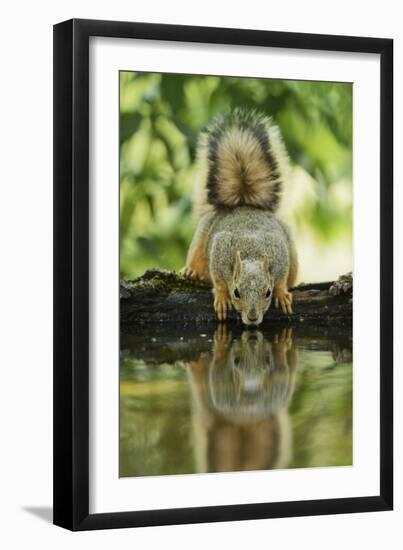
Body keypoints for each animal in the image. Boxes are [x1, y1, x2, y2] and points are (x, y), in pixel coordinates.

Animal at [181, 109, 298, 328]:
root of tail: (243, 204)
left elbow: (280, 278)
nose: (252, 318)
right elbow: (218, 281)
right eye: (236, 292)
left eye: (267, 293)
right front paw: (221, 298)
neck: (250, 250)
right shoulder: (219, 251)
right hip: (202, 236)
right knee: (197, 256)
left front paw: (282, 293)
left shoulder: (280, 252)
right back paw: (191, 271)